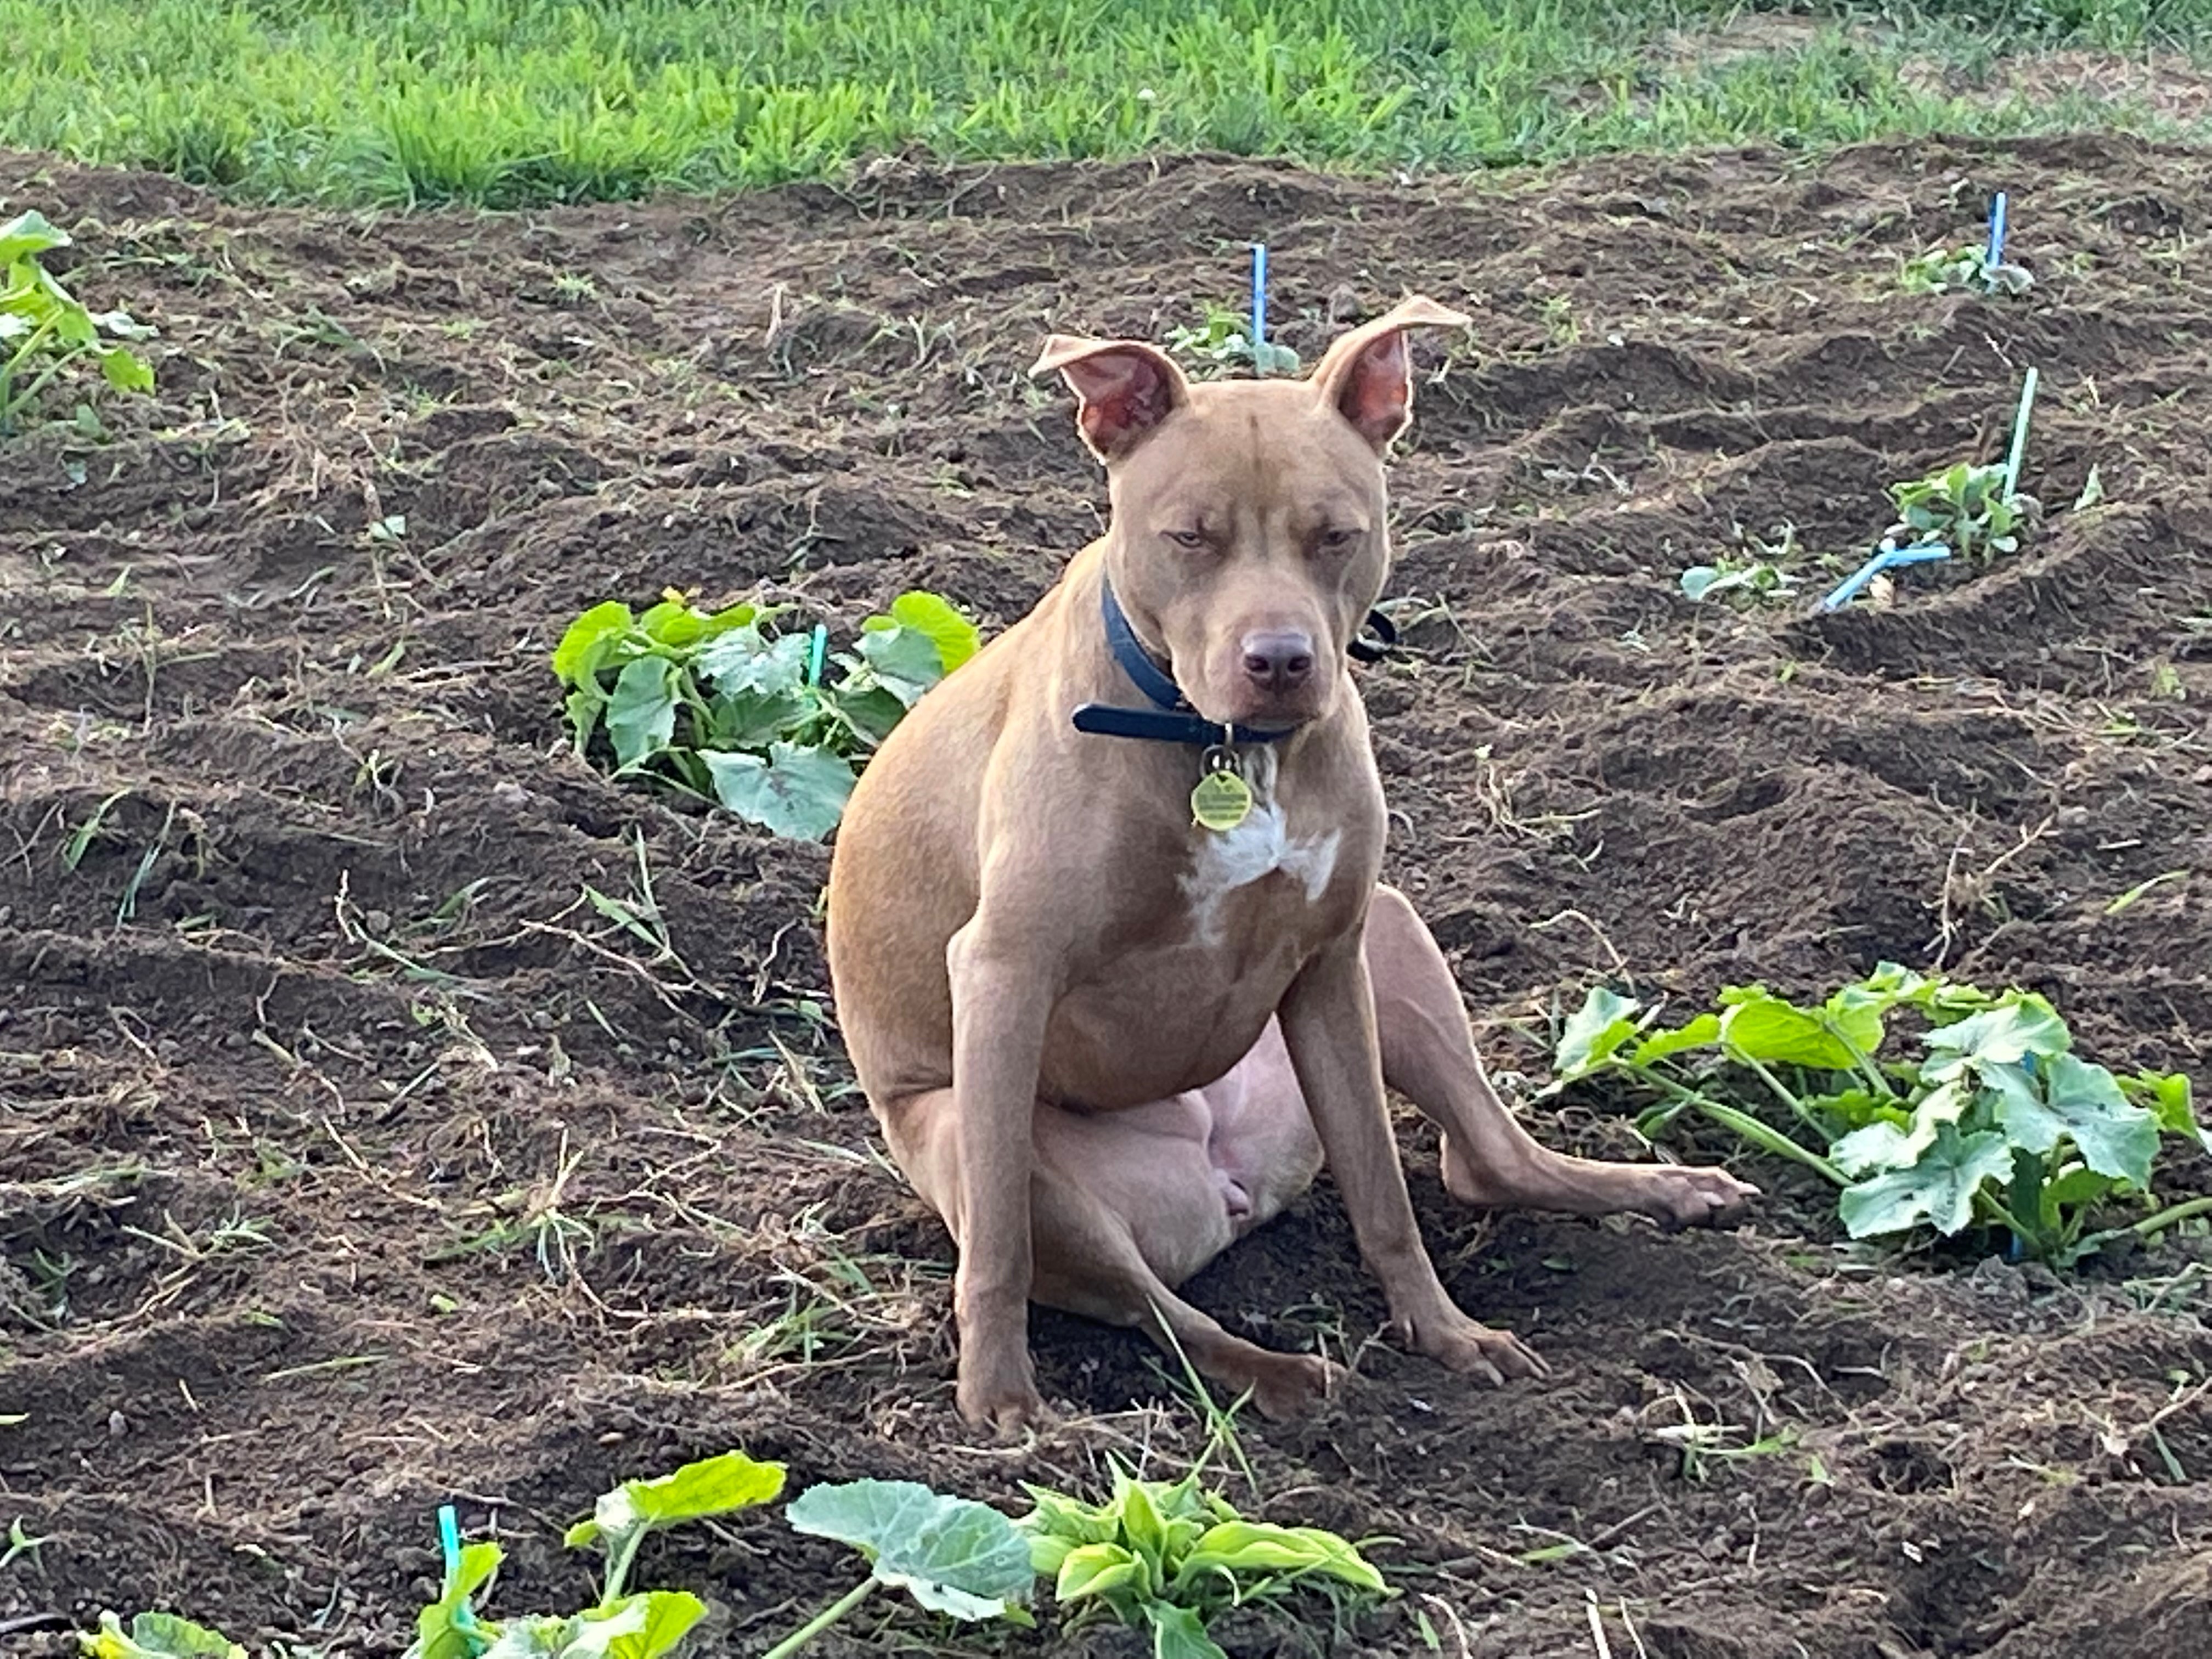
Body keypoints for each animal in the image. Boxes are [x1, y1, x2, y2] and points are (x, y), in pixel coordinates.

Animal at [822, 296, 1752, 1433]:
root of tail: (1215, 1168)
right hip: (983, 1133)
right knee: (1152, 1302)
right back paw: (1274, 1371)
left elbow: (1384, 1195)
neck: (1222, 743)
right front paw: (996, 1395)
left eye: (1335, 534)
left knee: (1485, 1159)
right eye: (1188, 535)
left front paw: (1442, 1333)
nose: (1278, 660)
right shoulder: (1004, 974)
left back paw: (1664, 1189)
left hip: (1387, 930)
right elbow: (997, 1247)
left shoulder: (1329, 964)